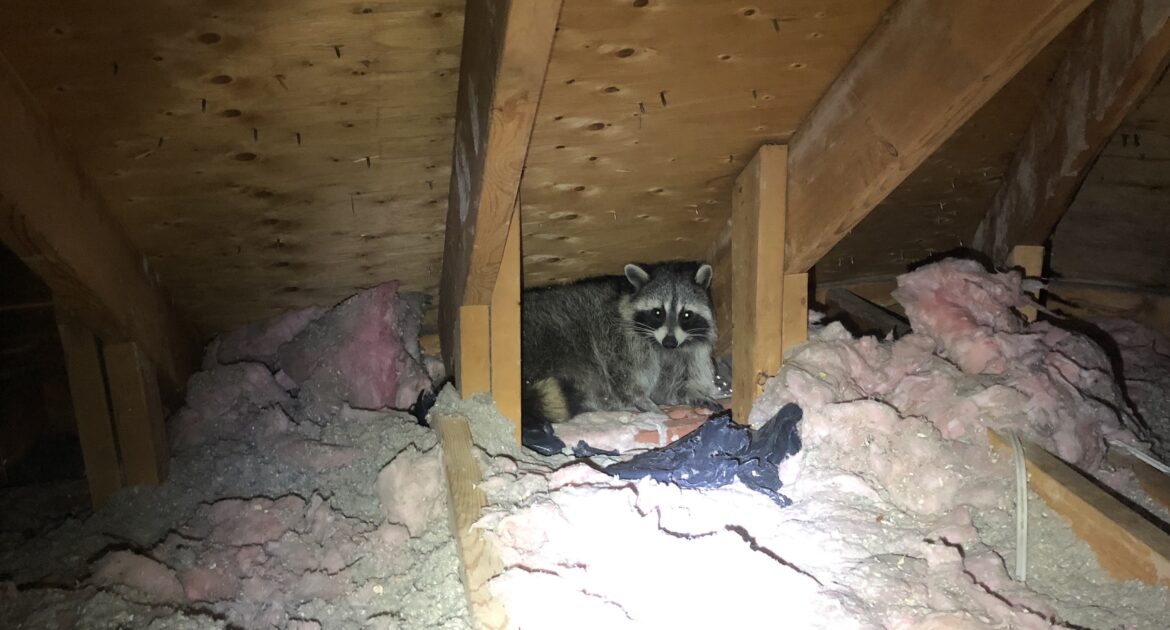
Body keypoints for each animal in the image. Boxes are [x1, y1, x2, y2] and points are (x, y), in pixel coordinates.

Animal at [521, 261, 722, 435]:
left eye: (686, 315)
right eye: (658, 313)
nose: (670, 342)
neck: (661, 347)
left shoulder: (685, 355)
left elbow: (670, 386)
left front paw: (693, 393)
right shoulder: (621, 342)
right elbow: (627, 381)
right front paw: (647, 404)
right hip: (552, 343)